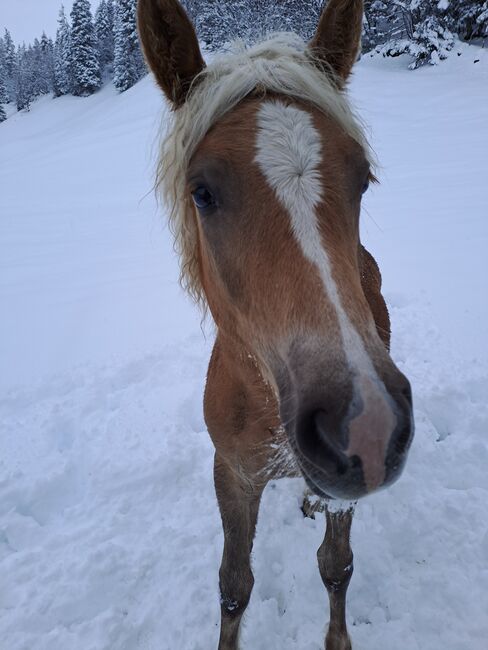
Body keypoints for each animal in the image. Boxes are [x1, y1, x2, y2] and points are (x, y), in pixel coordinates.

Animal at [137, 2, 416, 644]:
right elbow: (234, 586)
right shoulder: (233, 477)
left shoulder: (343, 494)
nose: (364, 426)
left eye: (361, 178)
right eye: (202, 192)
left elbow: (336, 566)